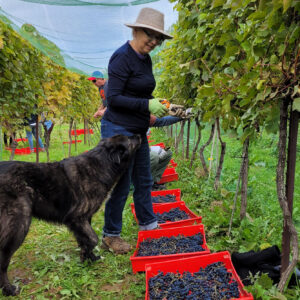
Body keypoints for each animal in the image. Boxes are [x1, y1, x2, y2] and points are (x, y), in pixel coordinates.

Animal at [0, 135, 141, 296]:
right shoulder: (76, 218)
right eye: (129, 139)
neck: (101, 163)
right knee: (3, 261)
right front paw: (86, 256)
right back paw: (8, 289)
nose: (139, 135)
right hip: (18, 226)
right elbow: (93, 239)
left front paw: (89, 258)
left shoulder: (83, 220)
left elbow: (84, 240)